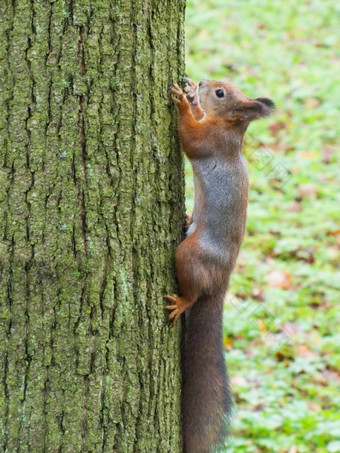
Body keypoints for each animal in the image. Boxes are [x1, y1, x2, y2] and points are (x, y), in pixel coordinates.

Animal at [166, 77, 274, 452]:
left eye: (221, 93)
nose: (201, 82)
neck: (231, 128)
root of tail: (221, 282)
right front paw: (190, 96)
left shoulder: (210, 142)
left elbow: (190, 139)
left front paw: (185, 104)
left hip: (190, 254)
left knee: (192, 292)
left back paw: (182, 301)